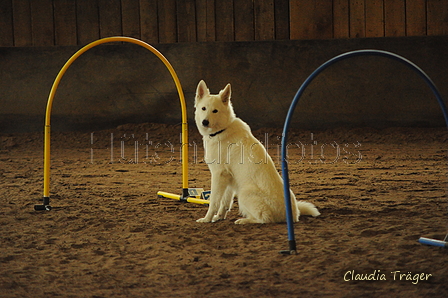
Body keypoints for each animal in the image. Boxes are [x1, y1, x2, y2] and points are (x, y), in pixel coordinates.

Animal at [194, 80, 320, 225]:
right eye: (203, 108)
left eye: (215, 111)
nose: (205, 122)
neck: (222, 130)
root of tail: (293, 216)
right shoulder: (228, 177)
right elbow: (225, 202)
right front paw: (219, 217)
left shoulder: (218, 175)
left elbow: (214, 201)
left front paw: (207, 219)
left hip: (244, 193)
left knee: (264, 219)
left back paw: (244, 220)